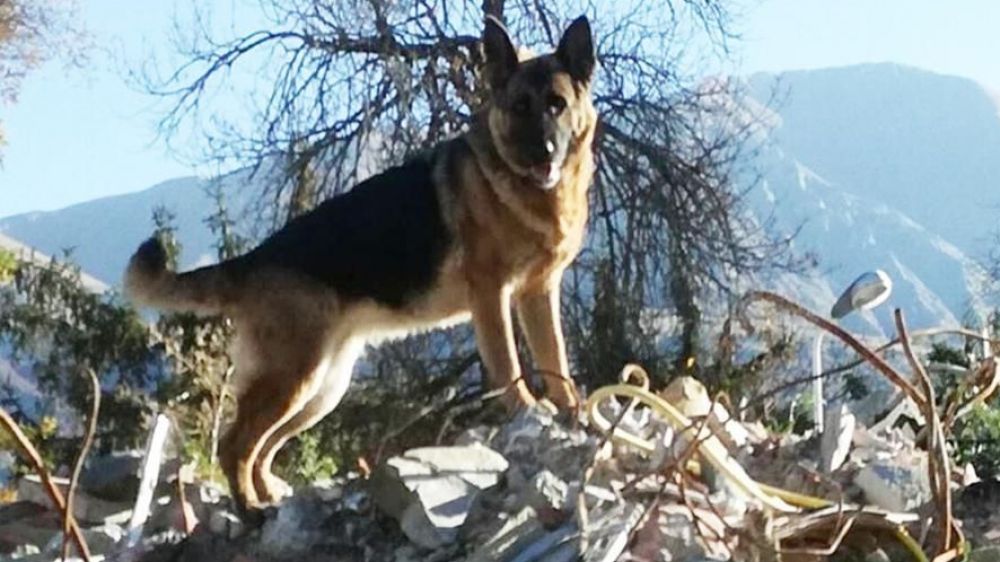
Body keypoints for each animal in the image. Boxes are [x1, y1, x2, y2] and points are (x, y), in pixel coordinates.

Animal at [125, 14, 592, 512]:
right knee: (236, 444)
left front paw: (571, 408)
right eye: (521, 106)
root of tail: (255, 259)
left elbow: (556, 358)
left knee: (262, 447)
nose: (544, 152)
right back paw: (250, 509)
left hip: (320, 389)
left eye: (558, 105)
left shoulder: (538, 294)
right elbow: (510, 366)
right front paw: (528, 408)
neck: (521, 190)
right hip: (294, 377)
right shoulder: (491, 296)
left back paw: (271, 496)